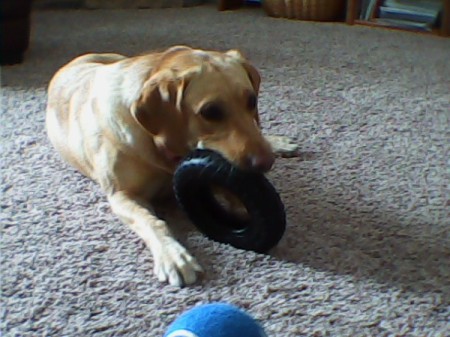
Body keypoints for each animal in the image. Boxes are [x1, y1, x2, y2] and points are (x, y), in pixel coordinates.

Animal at [47, 46, 298, 284]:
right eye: (210, 112)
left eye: (251, 101)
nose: (265, 162)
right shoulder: (122, 195)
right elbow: (152, 222)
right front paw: (173, 256)